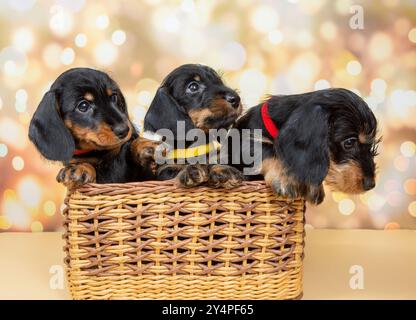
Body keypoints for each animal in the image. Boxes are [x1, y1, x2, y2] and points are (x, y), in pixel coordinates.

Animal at [232, 88, 378, 202]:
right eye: (349, 143)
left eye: (371, 145)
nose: (370, 184)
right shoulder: (242, 143)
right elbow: (267, 149)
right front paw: (285, 178)